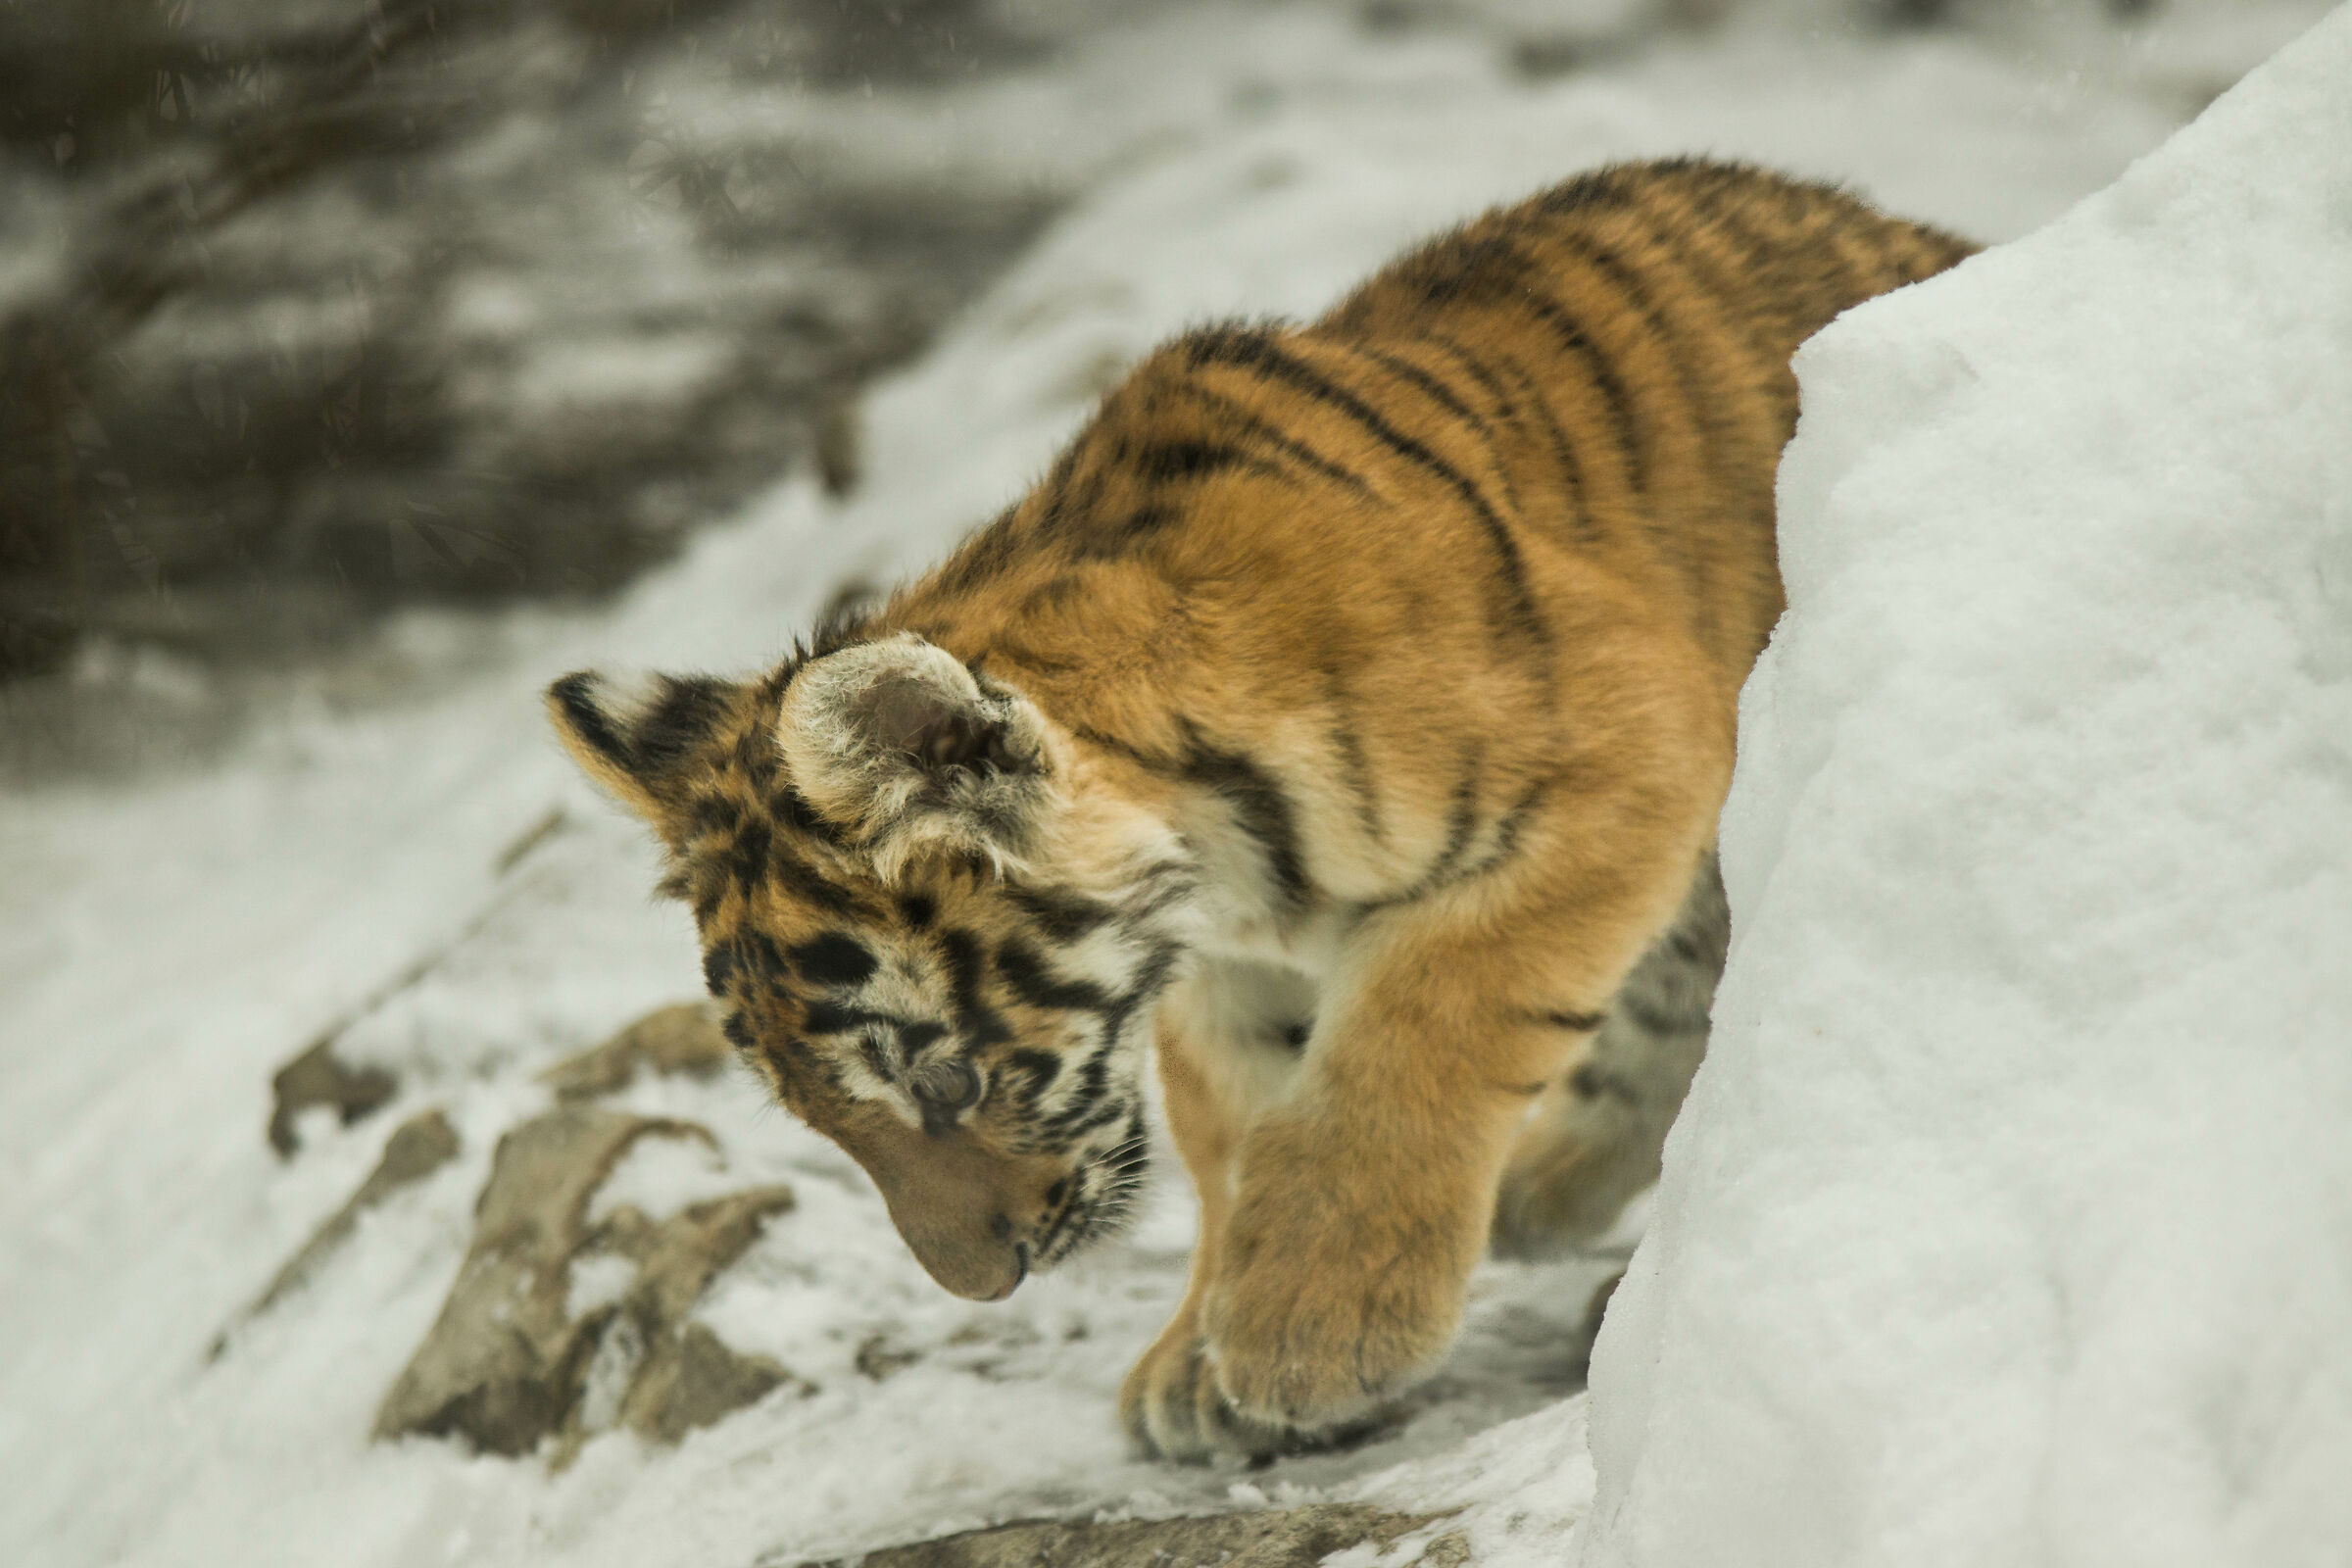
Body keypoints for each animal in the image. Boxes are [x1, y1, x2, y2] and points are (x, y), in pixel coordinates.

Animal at [546, 158, 1973, 1462]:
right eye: (816, 1115)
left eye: (944, 1081)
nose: (986, 1284)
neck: (1228, 861)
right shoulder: (1221, 968)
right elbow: (1233, 1125)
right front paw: (1202, 1361)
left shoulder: (1632, 743)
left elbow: (1428, 1020)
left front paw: (1310, 1327)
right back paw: (1541, 1194)